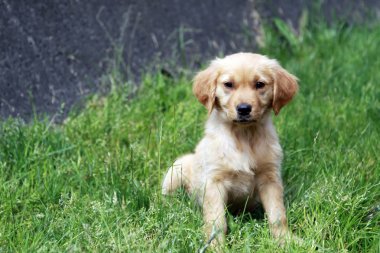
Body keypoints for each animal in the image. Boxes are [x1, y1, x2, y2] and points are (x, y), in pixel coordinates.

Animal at [162, 52, 298, 248]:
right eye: (228, 84)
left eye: (260, 84)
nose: (244, 109)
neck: (244, 135)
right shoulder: (214, 182)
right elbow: (217, 222)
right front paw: (215, 246)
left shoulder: (270, 177)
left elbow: (277, 215)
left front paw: (286, 240)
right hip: (176, 168)